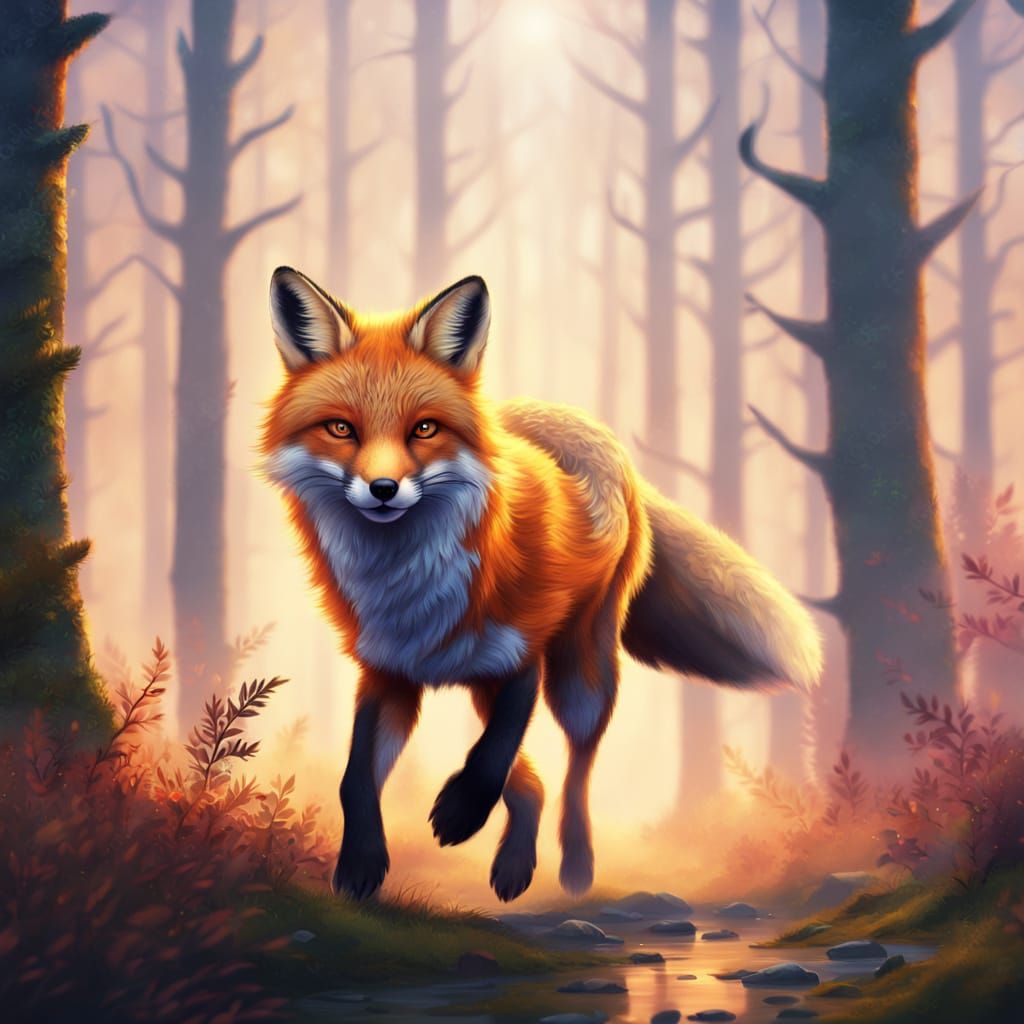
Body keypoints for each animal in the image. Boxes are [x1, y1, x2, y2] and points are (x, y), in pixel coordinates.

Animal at [260, 267, 822, 903]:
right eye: (341, 429)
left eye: (424, 429)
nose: (383, 489)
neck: (410, 581)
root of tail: (573, 418)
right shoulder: (389, 670)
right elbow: (356, 780)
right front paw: (359, 865)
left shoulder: (520, 657)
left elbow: (492, 757)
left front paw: (461, 812)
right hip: (486, 681)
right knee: (533, 784)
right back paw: (513, 864)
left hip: (581, 674)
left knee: (575, 772)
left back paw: (575, 864)